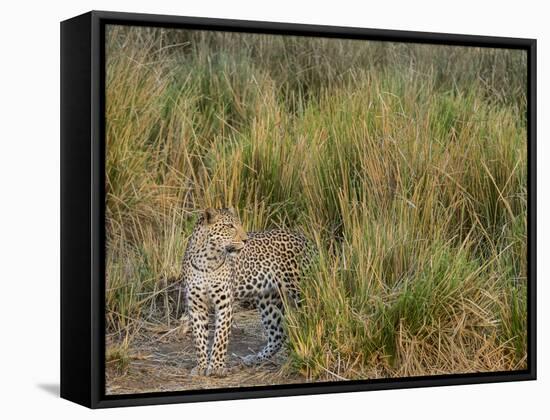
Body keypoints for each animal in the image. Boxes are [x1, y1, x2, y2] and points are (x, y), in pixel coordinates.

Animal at [182, 208, 314, 376]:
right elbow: (199, 339)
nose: (245, 240)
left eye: (239, 224)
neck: (207, 260)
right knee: (278, 334)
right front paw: (201, 367)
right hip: (268, 299)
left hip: (301, 290)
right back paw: (255, 359)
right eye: (230, 226)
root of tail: (306, 239)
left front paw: (217, 368)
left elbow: (221, 337)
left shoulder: (225, 303)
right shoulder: (196, 305)